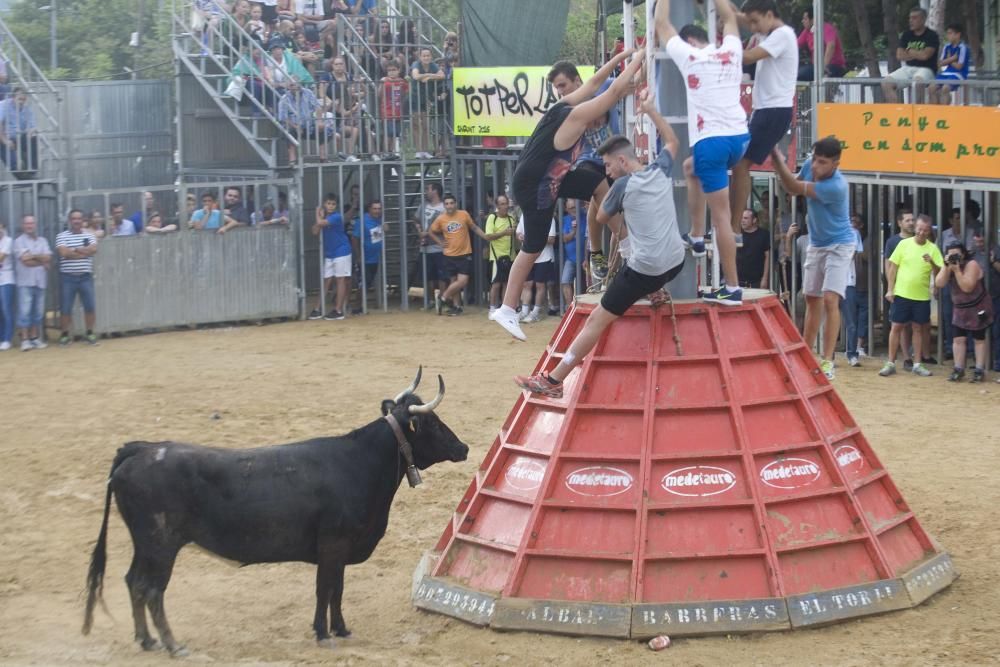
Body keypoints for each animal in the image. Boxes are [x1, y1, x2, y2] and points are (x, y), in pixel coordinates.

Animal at [83, 370, 468, 656]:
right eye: (433, 423)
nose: (463, 447)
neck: (359, 462)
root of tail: (141, 449)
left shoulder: (339, 549)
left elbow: (337, 588)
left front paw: (341, 629)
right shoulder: (333, 544)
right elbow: (326, 588)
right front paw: (323, 633)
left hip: (145, 545)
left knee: (133, 582)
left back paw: (146, 640)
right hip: (161, 545)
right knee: (152, 590)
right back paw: (172, 644)